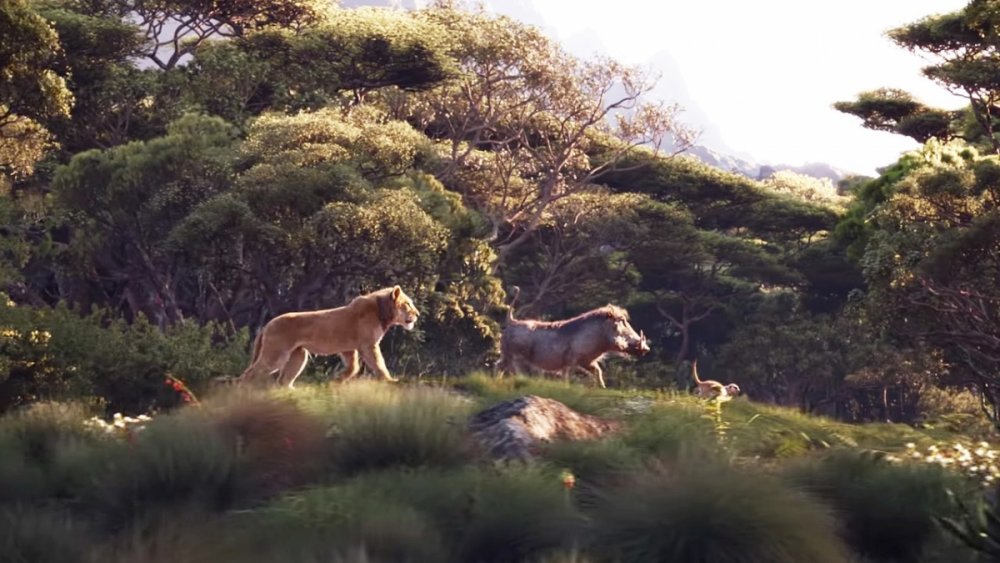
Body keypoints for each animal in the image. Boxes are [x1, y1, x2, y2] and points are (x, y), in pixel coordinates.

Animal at [237, 285, 420, 388]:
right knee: (249, 373)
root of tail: (267, 325)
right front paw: (390, 380)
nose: (417, 314)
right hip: (276, 354)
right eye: (407, 304)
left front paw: (336, 381)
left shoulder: (349, 348)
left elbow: (353, 368)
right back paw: (243, 393)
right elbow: (379, 364)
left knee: (283, 380)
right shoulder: (369, 345)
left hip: (299, 354)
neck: (382, 313)